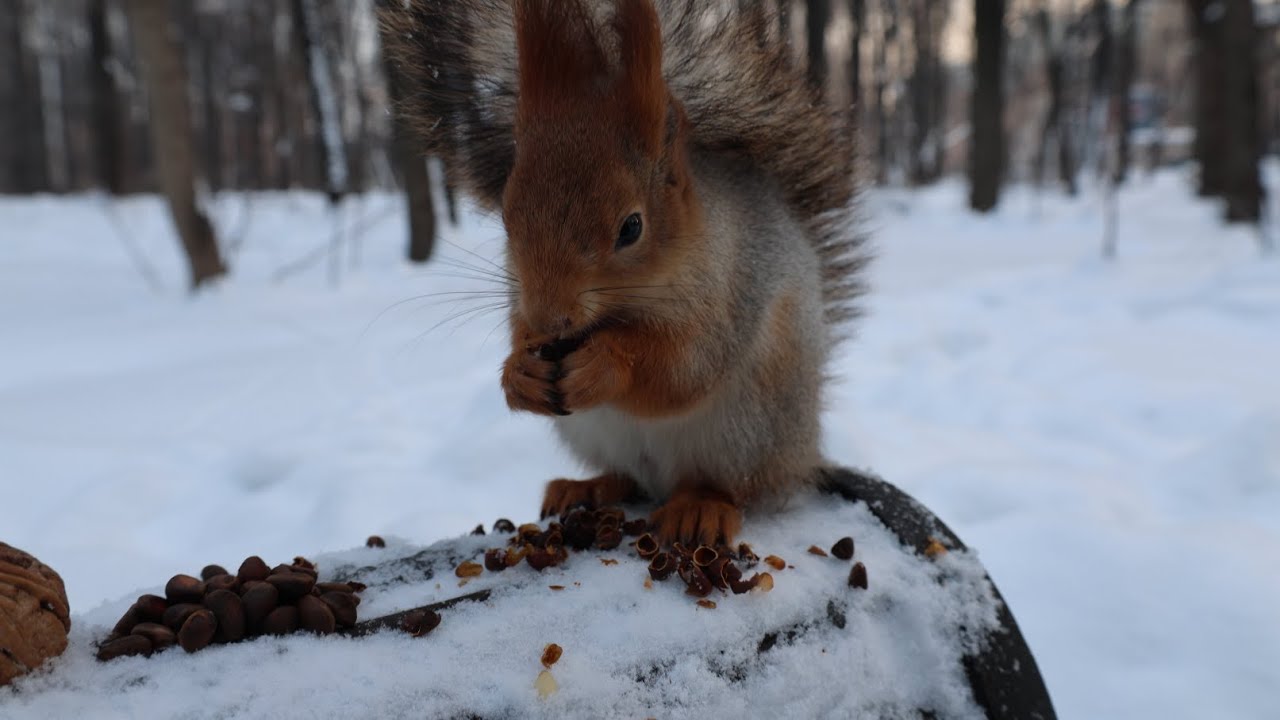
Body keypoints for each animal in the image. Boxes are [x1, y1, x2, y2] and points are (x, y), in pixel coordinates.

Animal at [380, 0, 867, 546]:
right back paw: (587, 487)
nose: (551, 320)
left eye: (631, 227)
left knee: (734, 486)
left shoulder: (734, 291)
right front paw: (519, 371)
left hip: (750, 429)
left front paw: (606, 364)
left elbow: (684, 369)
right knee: (628, 477)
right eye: (506, 218)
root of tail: (802, 455)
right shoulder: (518, 296)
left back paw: (701, 506)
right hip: (595, 433)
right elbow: (518, 330)